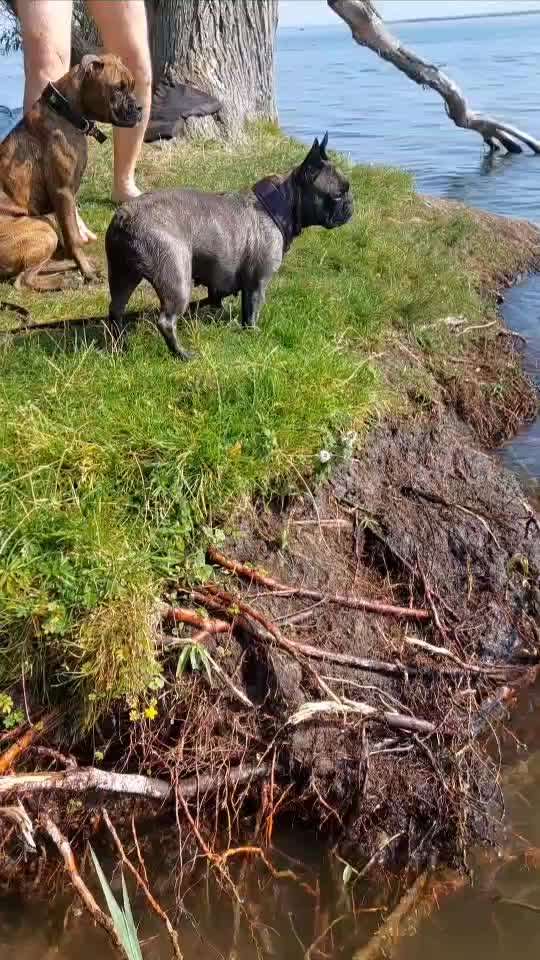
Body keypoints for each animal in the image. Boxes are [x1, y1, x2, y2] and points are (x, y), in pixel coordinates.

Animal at [0, 55, 141, 288]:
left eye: (132, 86)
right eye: (117, 88)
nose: (139, 107)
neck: (66, 112)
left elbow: (70, 234)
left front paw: (83, 265)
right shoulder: (63, 192)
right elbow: (73, 238)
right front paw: (86, 271)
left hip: (47, 223)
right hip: (44, 231)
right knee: (23, 280)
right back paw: (65, 280)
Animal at [105, 133, 352, 358]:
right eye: (338, 195)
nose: (351, 205)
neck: (279, 204)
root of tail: (126, 215)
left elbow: (218, 299)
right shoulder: (257, 282)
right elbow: (252, 310)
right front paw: (252, 333)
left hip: (122, 274)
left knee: (116, 310)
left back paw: (121, 346)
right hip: (176, 278)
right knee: (166, 321)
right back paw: (182, 355)